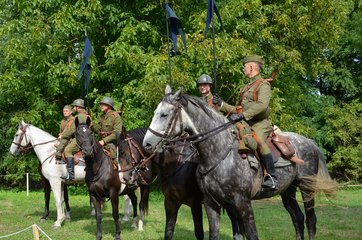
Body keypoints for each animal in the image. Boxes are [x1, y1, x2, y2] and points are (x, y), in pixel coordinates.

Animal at [143, 86, 338, 240]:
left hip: (306, 188)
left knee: (311, 220)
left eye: (164, 114)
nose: (147, 144)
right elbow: (213, 234)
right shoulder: (211, 203)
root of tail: (310, 142)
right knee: (298, 218)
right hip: (287, 191)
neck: (220, 152)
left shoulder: (242, 203)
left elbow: (251, 234)